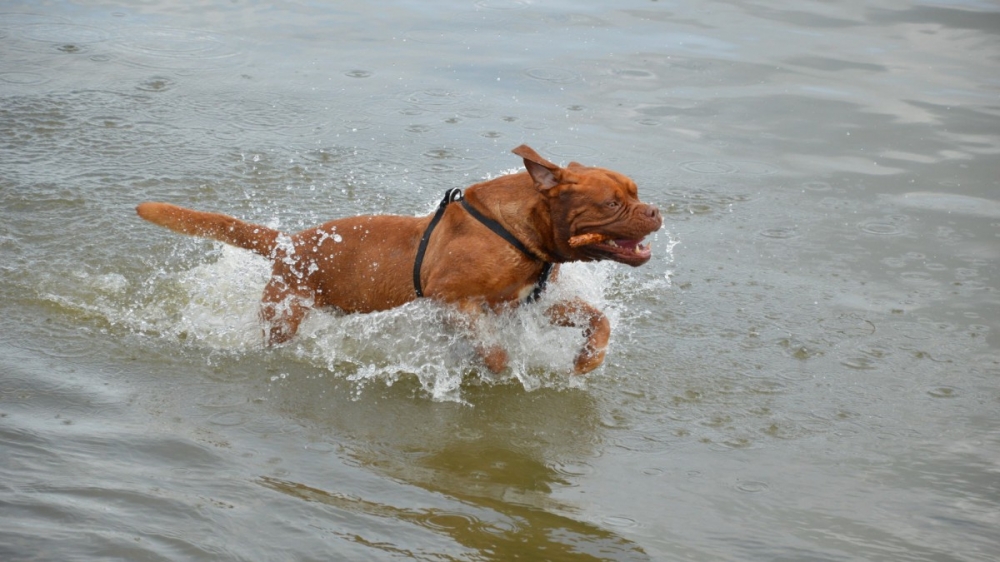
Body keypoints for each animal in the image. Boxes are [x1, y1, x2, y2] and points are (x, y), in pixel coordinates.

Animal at [135, 144, 664, 372]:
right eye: (611, 204)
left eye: (637, 192)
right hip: (284, 313)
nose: (655, 210)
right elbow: (494, 352)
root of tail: (290, 242)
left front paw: (588, 359)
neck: (521, 230)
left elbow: (598, 320)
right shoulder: (456, 302)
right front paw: (494, 370)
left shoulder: (525, 303)